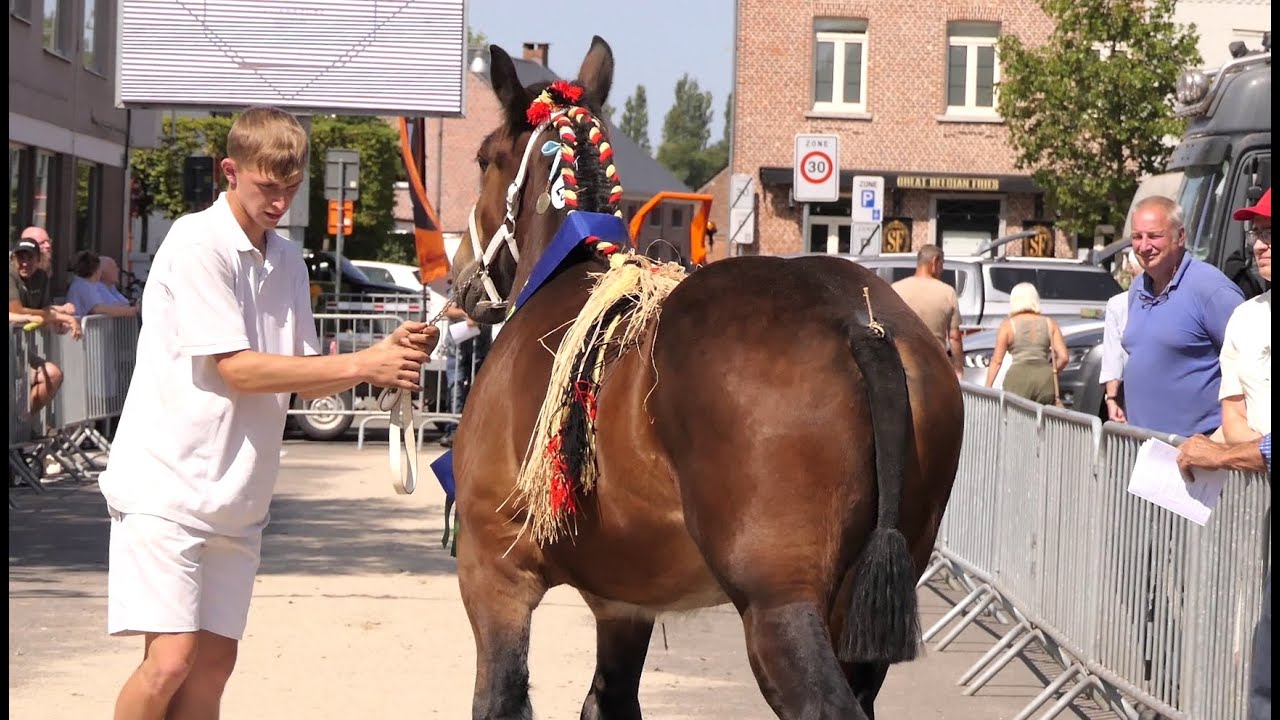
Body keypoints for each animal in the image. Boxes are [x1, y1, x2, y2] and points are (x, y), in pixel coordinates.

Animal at [448, 36, 964, 720]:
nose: (459, 276)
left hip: (780, 609)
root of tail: (858, 319)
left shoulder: (494, 574)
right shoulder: (624, 605)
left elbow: (500, 699)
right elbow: (608, 702)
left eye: (484, 159)